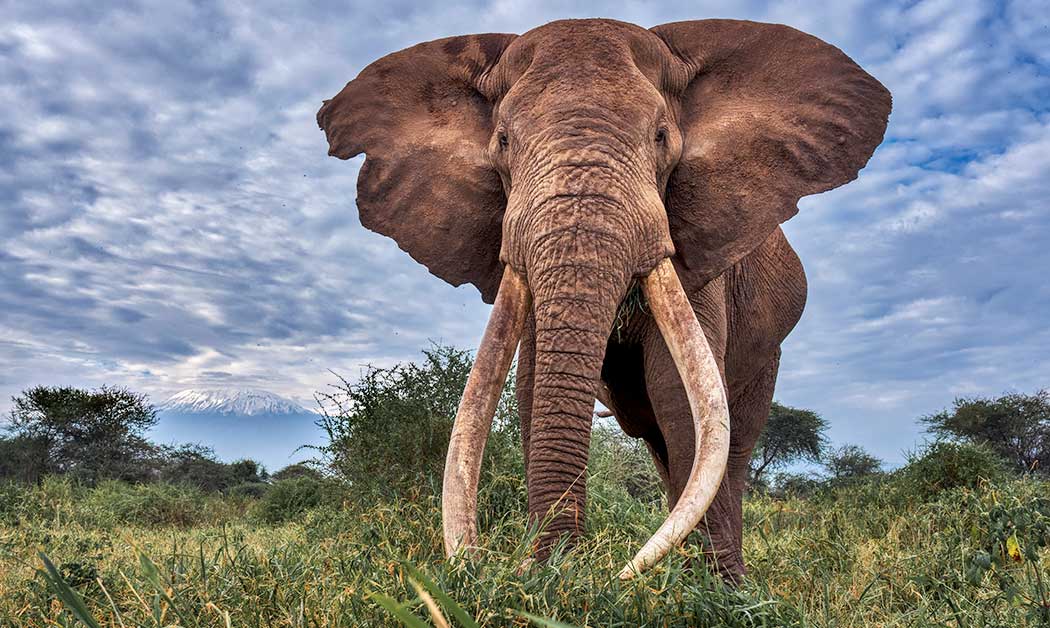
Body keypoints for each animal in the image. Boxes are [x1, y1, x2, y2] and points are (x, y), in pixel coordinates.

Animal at [317, 18, 890, 580]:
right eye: (502, 141)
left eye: (661, 136)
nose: (555, 571)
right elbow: (533, 384)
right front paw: (556, 574)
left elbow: (674, 386)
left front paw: (714, 592)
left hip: (767, 351)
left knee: (733, 441)